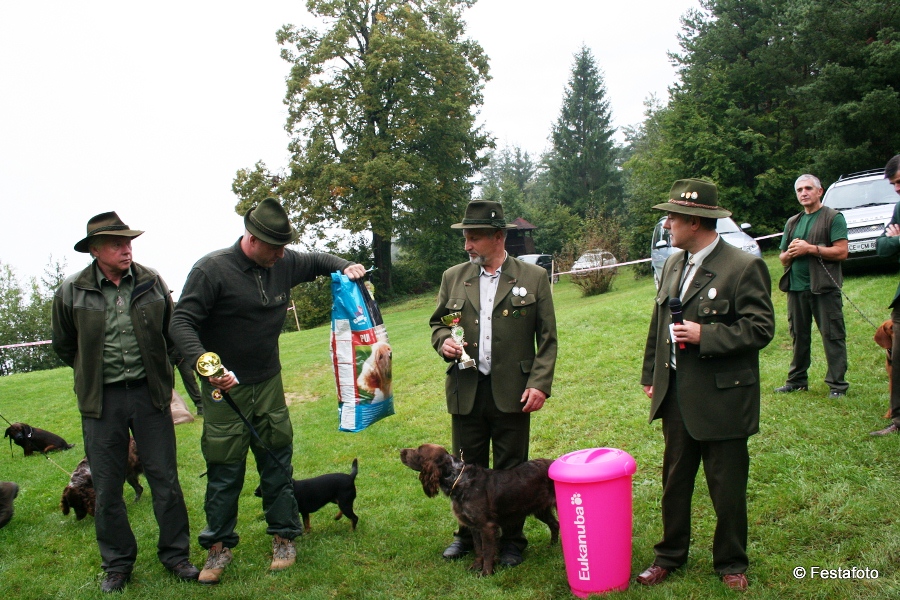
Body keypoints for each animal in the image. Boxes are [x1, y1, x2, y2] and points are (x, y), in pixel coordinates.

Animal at [400, 443, 559, 576]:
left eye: (418, 450)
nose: (401, 451)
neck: (458, 479)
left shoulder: (487, 526)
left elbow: (487, 551)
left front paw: (486, 573)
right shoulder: (474, 526)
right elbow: (478, 548)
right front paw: (476, 566)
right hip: (540, 510)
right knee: (555, 524)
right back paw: (552, 546)